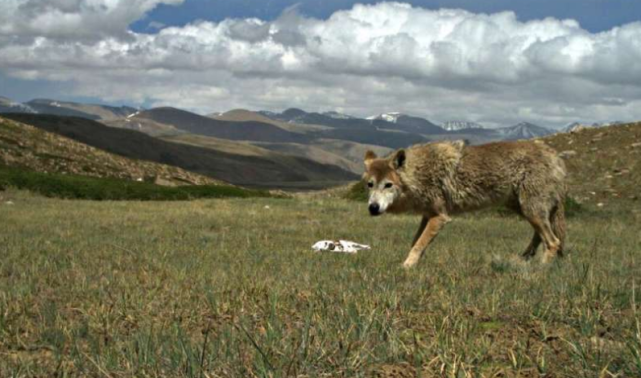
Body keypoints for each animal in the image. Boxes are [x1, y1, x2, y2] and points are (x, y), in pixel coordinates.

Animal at [362, 140, 568, 268]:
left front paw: (406, 267)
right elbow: (416, 242)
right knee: (541, 237)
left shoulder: (440, 217)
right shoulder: (428, 215)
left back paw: (538, 270)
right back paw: (523, 260)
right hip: (526, 210)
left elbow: (418, 244)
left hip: (531, 210)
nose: (373, 208)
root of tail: (555, 157)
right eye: (370, 185)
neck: (419, 173)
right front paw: (414, 263)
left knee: (553, 242)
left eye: (388, 185)